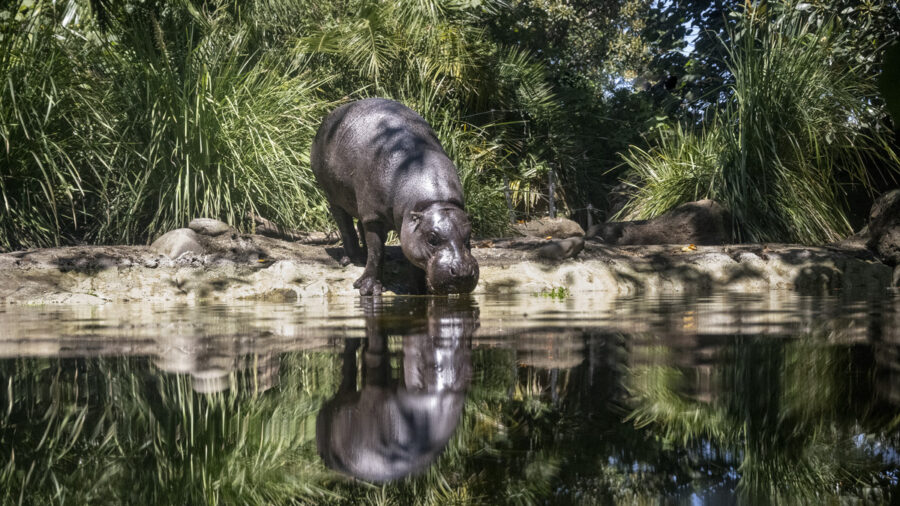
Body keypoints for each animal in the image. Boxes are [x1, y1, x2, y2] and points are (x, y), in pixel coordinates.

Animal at [310, 98, 478, 294]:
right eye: (432, 239)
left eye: (468, 236)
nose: (463, 273)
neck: (433, 202)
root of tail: (332, 114)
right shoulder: (374, 217)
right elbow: (376, 252)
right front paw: (368, 289)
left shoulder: (410, 227)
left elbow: (413, 258)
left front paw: (419, 291)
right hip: (334, 196)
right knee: (345, 225)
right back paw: (353, 259)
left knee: (359, 225)